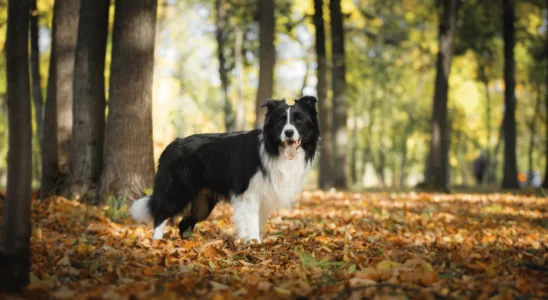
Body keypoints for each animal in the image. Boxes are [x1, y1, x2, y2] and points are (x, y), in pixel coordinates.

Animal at [129, 96, 322, 244]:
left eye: (299, 121)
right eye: (281, 121)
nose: (289, 133)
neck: (274, 151)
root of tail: (172, 145)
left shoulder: (265, 197)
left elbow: (260, 225)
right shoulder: (250, 195)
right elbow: (252, 225)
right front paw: (254, 245)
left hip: (202, 203)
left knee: (183, 224)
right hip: (177, 190)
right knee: (161, 215)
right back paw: (157, 243)